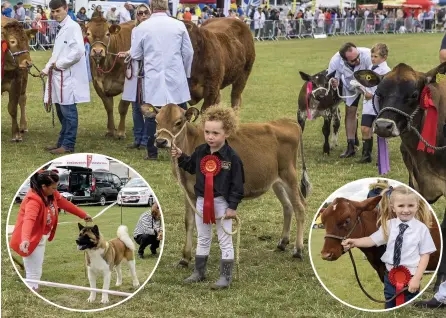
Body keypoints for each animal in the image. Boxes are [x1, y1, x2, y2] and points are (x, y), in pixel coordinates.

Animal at [153, 103, 310, 266]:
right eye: (156, 121)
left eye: (178, 122)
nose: (160, 141)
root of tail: (288, 122)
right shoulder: (188, 191)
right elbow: (189, 222)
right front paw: (184, 258)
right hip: (276, 181)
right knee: (288, 206)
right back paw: (282, 242)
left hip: (289, 175)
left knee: (300, 207)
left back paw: (298, 250)